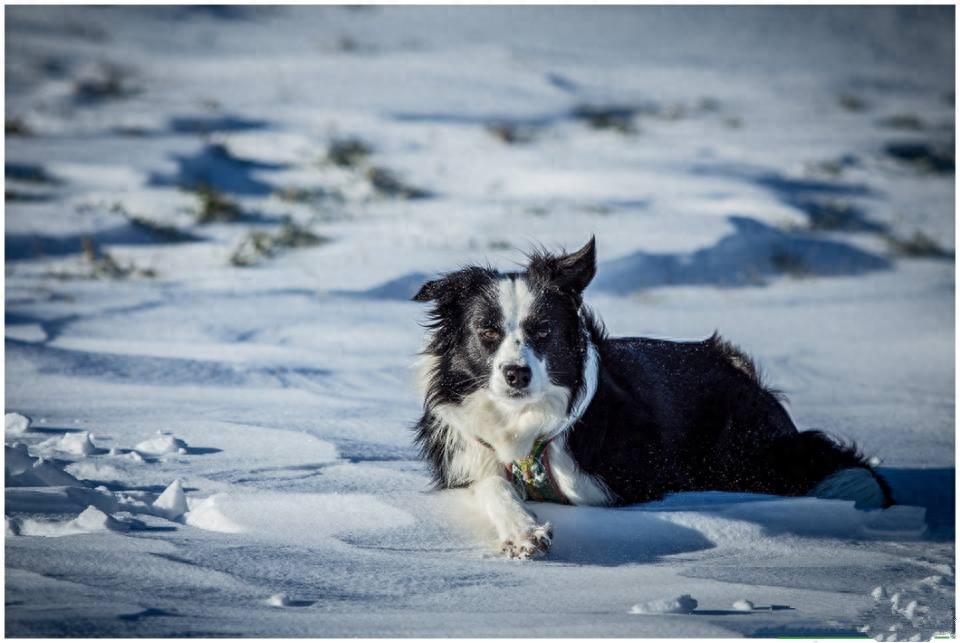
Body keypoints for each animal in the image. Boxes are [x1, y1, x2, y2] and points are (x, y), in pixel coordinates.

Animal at [412, 236, 892, 560]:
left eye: (543, 331)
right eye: (487, 332)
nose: (516, 374)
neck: (522, 421)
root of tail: (737, 368)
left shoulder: (634, 479)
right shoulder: (469, 456)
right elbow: (492, 484)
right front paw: (523, 532)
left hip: (744, 455)